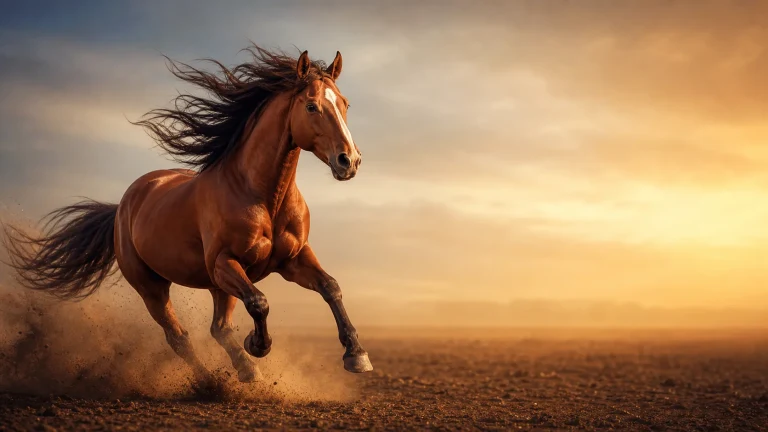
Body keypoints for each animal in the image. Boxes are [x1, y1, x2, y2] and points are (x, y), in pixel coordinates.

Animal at [1, 45, 372, 383]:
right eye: (311, 106)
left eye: (345, 104)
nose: (349, 161)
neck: (263, 197)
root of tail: (123, 206)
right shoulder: (225, 263)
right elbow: (259, 302)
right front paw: (257, 345)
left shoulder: (292, 259)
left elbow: (330, 287)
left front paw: (356, 356)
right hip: (153, 287)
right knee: (179, 337)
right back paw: (212, 381)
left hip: (216, 286)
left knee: (219, 328)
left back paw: (243, 369)